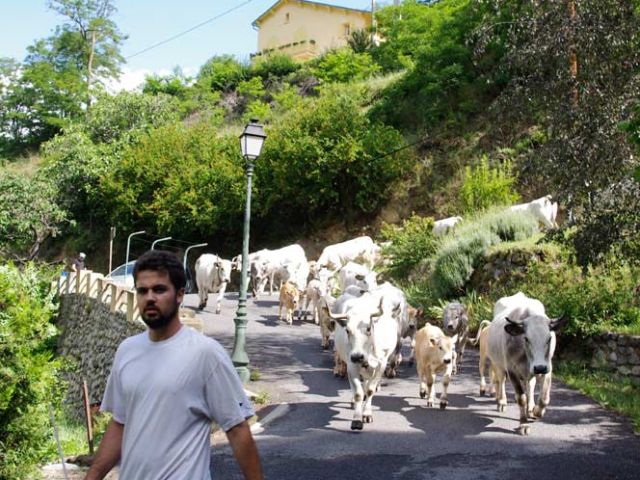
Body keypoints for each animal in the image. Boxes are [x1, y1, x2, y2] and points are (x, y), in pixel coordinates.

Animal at [330, 294, 400, 430]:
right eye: (347, 330)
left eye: (368, 328)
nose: (357, 356)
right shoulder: (351, 365)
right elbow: (358, 393)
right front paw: (357, 419)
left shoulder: (381, 365)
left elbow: (370, 390)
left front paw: (367, 414)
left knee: (367, 385)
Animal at [488, 292, 568, 436]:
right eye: (526, 338)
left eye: (549, 338)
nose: (539, 367)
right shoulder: (512, 371)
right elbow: (521, 398)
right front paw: (523, 424)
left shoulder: (548, 368)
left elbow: (544, 398)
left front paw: (536, 411)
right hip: (499, 365)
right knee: (501, 381)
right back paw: (502, 402)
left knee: (530, 385)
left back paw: (530, 408)